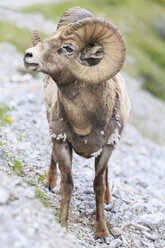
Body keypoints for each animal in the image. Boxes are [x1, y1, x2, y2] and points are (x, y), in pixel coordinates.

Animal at [23, 6, 130, 243]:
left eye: (67, 48)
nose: (28, 55)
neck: (86, 122)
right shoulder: (62, 143)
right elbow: (68, 184)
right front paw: (63, 224)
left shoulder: (106, 149)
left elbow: (98, 186)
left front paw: (102, 232)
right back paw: (50, 182)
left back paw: (109, 199)